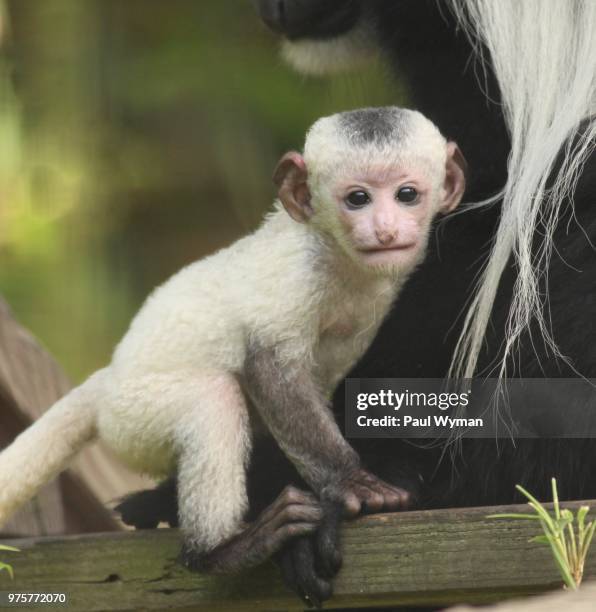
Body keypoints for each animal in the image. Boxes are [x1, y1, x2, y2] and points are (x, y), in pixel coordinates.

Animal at [0, 106, 466, 572]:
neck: (340, 258)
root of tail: (109, 379)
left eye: (407, 194)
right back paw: (218, 551)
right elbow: (268, 365)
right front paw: (350, 481)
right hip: (132, 419)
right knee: (213, 399)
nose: (386, 230)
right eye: (358, 199)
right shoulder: (299, 272)